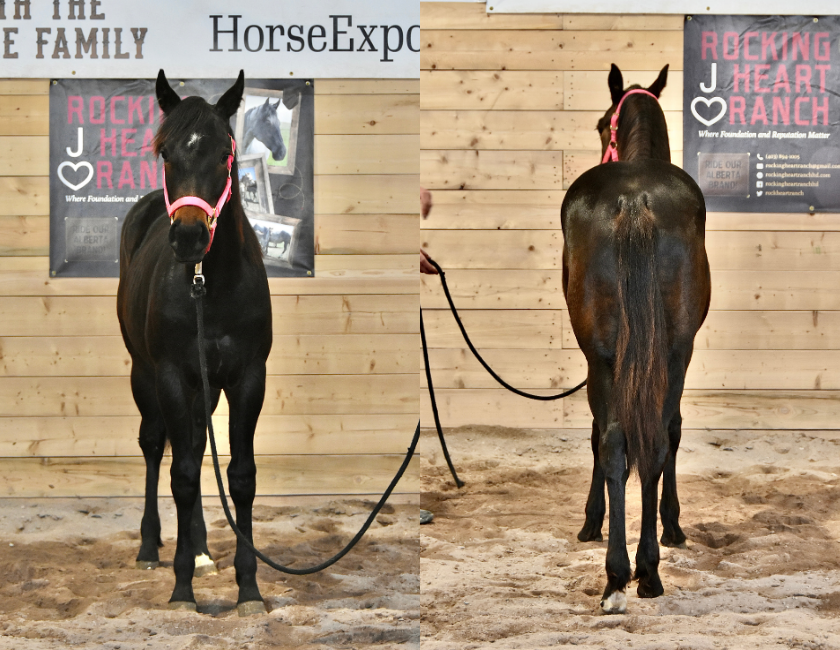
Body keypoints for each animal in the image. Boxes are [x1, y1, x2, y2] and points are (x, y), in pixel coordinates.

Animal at [117, 69, 273, 615]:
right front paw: (181, 587)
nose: (188, 238)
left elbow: (240, 476)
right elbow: (180, 473)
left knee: (197, 444)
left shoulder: (248, 378)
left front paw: (249, 588)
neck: (211, 283)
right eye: (166, 153)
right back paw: (151, 547)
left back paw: (203, 548)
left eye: (226, 152)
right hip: (143, 375)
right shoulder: (170, 376)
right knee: (154, 446)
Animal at [560, 64, 711, 614]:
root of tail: (634, 201)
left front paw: (593, 520)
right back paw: (644, 571)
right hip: (668, 353)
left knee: (619, 438)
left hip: (607, 357)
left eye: (601, 122)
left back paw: (622, 574)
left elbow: (605, 437)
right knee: (652, 437)